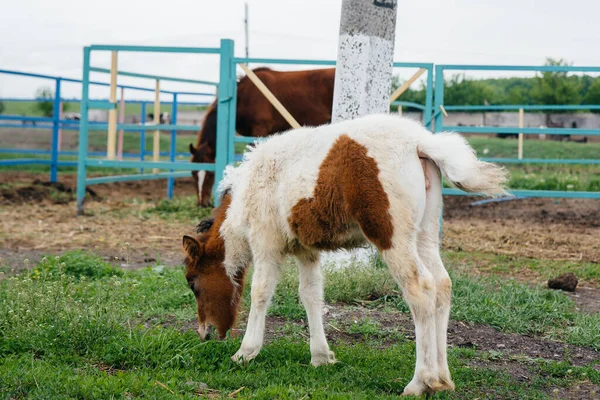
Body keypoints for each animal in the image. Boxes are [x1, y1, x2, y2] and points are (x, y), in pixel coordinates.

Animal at [182, 114, 506, 396]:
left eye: (193, 283)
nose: (204, 333)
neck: (249, 192)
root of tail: (420, 142)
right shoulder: (306, 251)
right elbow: (311, 295)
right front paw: (321, 357)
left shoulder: (266, 244)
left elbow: (260, 292)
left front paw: (245, 352)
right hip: (424, 235)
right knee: (442, 285)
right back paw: (443, 379)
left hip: (393, 237)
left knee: (421, 289)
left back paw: (420, 382)